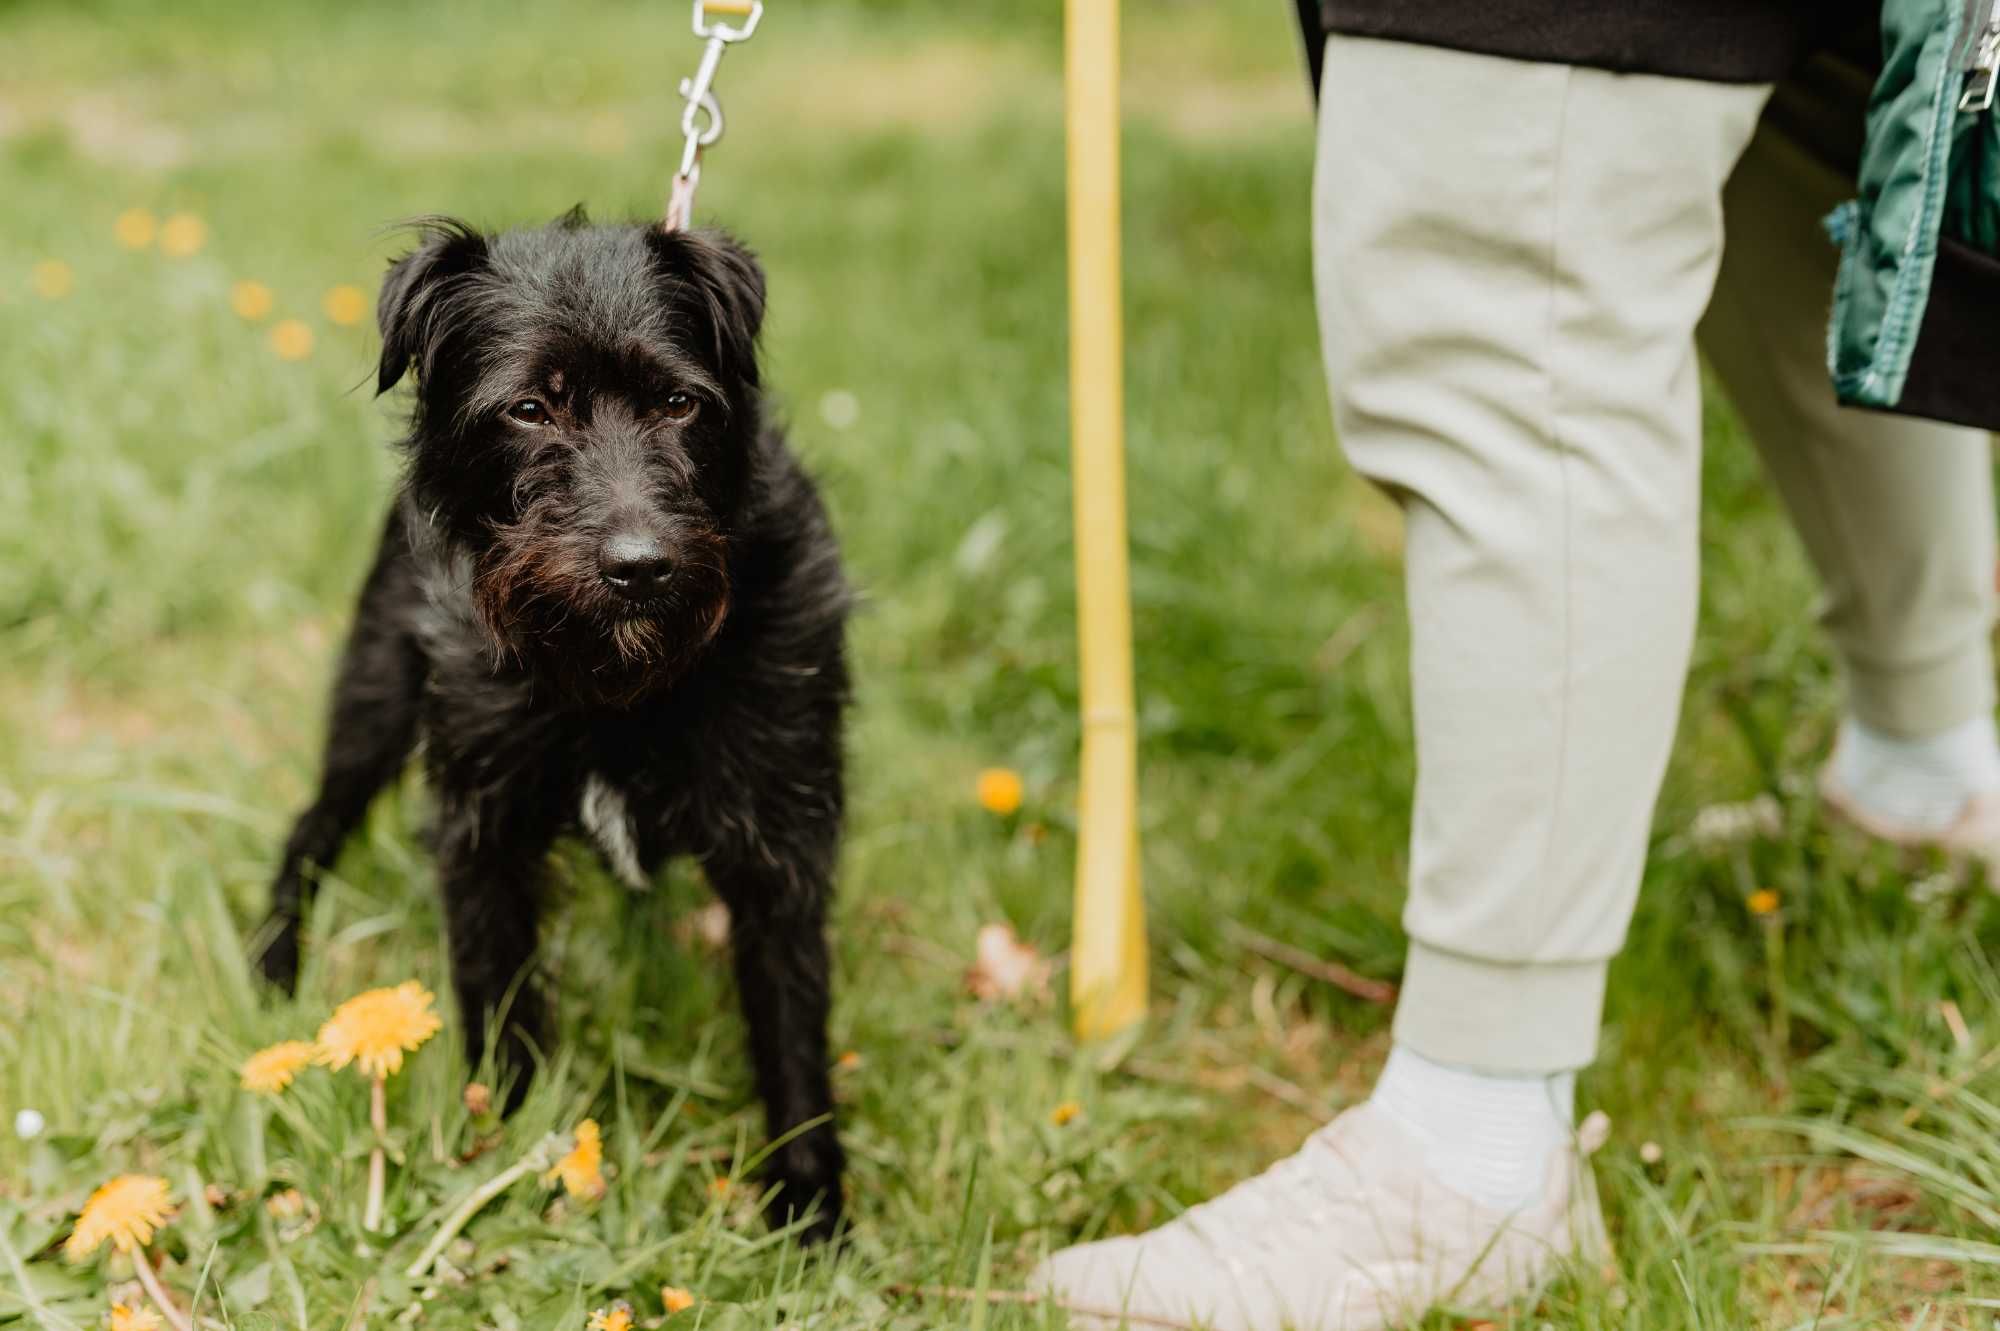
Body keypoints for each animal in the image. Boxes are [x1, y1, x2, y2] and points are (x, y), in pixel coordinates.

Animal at [250, 212, 844, 1239]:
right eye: (529, 409)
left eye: (680, 403)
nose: (639, 566)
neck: (614, 680)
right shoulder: (482, 827)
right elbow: (499, 1003)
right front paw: (507, 1149)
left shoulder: (782, 832)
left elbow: (792, 1024)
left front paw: (812, 1214)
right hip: (372, 700)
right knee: (312, 824)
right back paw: (277, 964)